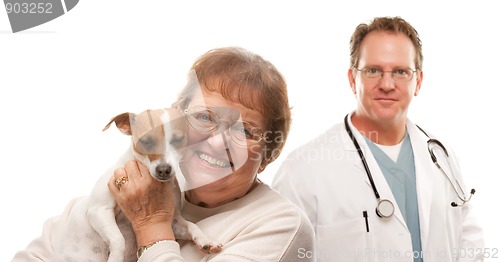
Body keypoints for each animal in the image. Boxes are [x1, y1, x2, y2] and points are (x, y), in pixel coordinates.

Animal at [51, 107, 222, 260]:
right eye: (145, 141)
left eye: (177, 140)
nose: (163, 170)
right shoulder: (99, 211)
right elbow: (118, 239)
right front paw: (115, 258)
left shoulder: (173, 222)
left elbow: (191, 225)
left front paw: (206, 240)